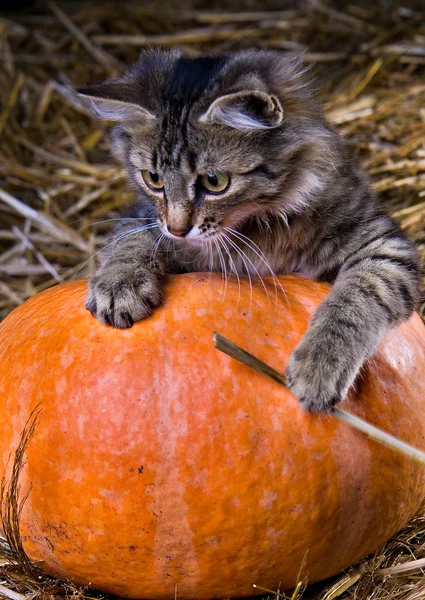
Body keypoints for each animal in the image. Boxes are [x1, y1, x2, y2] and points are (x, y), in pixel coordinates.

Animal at [78, 49, 420, 412]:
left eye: (215, 181)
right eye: (153, 179)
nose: (179, 229)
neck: (255, 228)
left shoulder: (383, 245)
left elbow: (355, 298)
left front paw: (319, 365)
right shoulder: (145, 218)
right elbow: (131, 240)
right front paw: (119, 285)